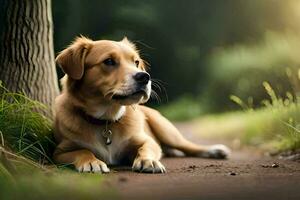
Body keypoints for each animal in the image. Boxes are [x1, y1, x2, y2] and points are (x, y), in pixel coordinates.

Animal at [53, 36, 230, 173]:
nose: (145, 77)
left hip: (165, 129)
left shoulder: (147, 140)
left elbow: (146, 148)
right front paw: (91, 161)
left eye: (136, 62)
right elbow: (82, 151)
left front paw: (148, 160)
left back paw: (215, 150)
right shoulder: (60, 151)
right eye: (109, 61)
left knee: (188, 146)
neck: (106, 120)